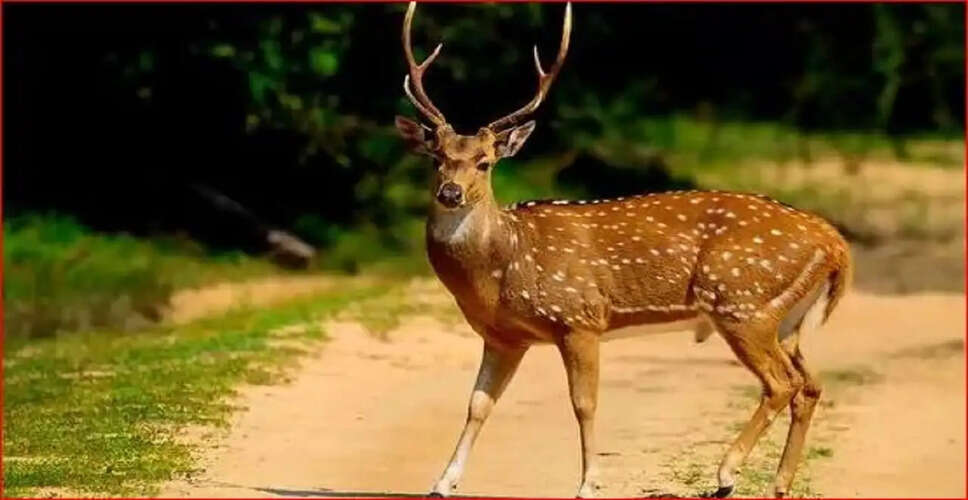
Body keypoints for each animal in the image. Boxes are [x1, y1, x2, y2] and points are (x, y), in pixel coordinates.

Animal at [394, 2, 852, 498]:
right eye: (436, 158)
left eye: (486, 162)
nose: (451, 192)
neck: (503, 269)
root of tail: (833, 240)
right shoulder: (504, 336)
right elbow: (478, 404)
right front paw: (442, 482)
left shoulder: (578, 317)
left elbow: (584, 403)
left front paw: (588, 484)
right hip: (783, 318)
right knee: (810, 384)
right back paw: (779, 483)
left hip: (742, 303)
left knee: (782, 383)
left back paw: (727, 474)